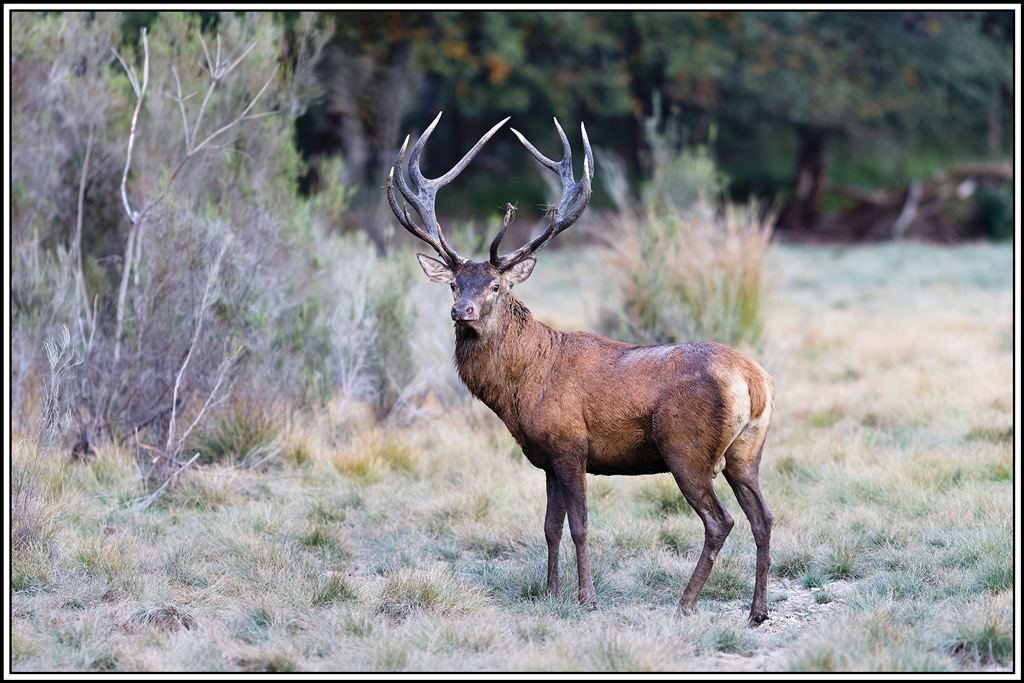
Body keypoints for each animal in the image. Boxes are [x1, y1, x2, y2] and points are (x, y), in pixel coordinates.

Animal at [386, 113, 775, 627]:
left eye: (495, 285)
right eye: (453, 283)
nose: (461, 311)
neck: (523, 387)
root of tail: (756, 381)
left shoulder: (571, 445)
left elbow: (580, 527)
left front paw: (586, 598)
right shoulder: (545, 455)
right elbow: (550, 526)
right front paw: (550, 593)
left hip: (687, 448)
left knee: (720, 520)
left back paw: (686, 603)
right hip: (747, 451)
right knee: (763, 517)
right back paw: (757, 612)